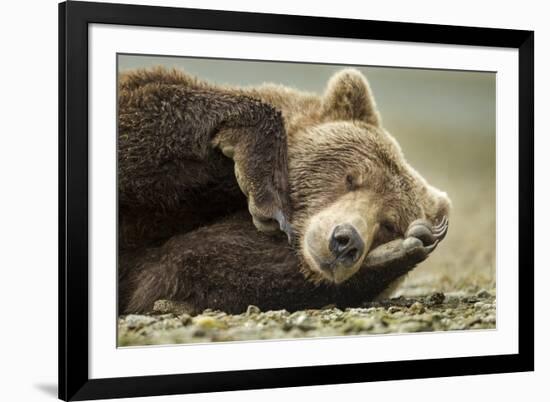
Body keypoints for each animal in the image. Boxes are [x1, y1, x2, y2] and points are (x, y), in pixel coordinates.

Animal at [118, 67, 450, 316]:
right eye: (351, 178)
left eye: (389, 224)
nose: (345, 241)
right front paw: (264, 190)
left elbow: (174, 271)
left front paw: (398, 252)